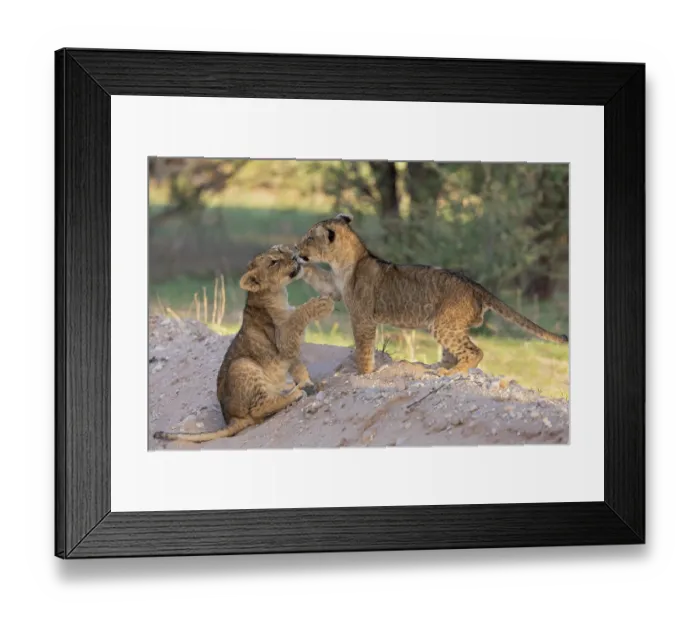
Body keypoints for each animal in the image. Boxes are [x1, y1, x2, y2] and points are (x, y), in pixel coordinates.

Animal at [153, 245, 338, 443]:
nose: (295, 256)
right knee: (259, 409)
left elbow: (298, 367)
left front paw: (306, 381)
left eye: (281, 249)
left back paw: (290, 387)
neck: (279, 295)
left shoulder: (291, 353)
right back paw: (294, 393)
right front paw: (322, 305)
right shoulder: (284, 341)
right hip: (242, 365)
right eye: (273, 262)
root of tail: (230, 419)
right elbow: (297, 316)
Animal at [296, 213, 568, 376]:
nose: (298, 247)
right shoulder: (334, 286)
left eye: (309, 237)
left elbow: (364, 348)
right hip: (450, 324)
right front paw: (296, 264)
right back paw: (435, 366)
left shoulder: (362, 317)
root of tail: (474, 285)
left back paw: (452, 372)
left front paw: (362, 373)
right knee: (454, 351)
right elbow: (318, 277)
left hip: (443, 324)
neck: (343, 263)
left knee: (475, 352)